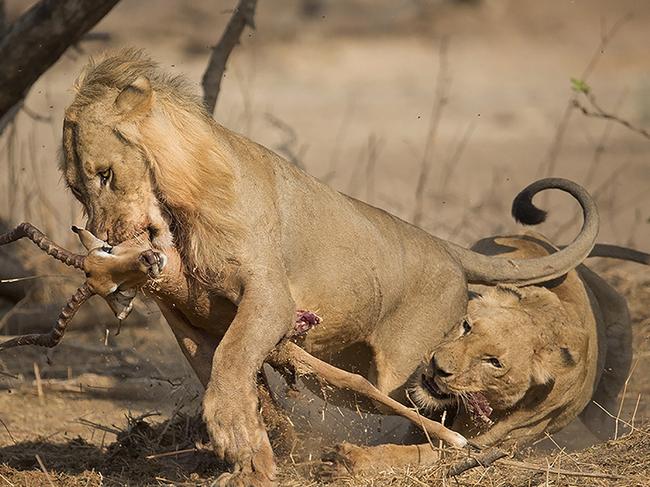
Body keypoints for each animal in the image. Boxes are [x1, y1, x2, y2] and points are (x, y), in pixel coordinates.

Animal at [60, 48, 596, 484]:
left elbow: (232, 357)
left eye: (105, 175)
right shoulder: (192, 320)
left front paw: (233, 431)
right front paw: (265, 442)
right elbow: (226, 367)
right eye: (75, 189)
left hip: (412, 367)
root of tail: (445, 246)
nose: (105, 240)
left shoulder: (271, 297)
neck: (180, 209)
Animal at [320, 234, 636, 474]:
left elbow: (416, 454)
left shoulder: (481, 446)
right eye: (467, 326)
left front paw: (348, 459)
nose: (437, 367)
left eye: (494, 362)